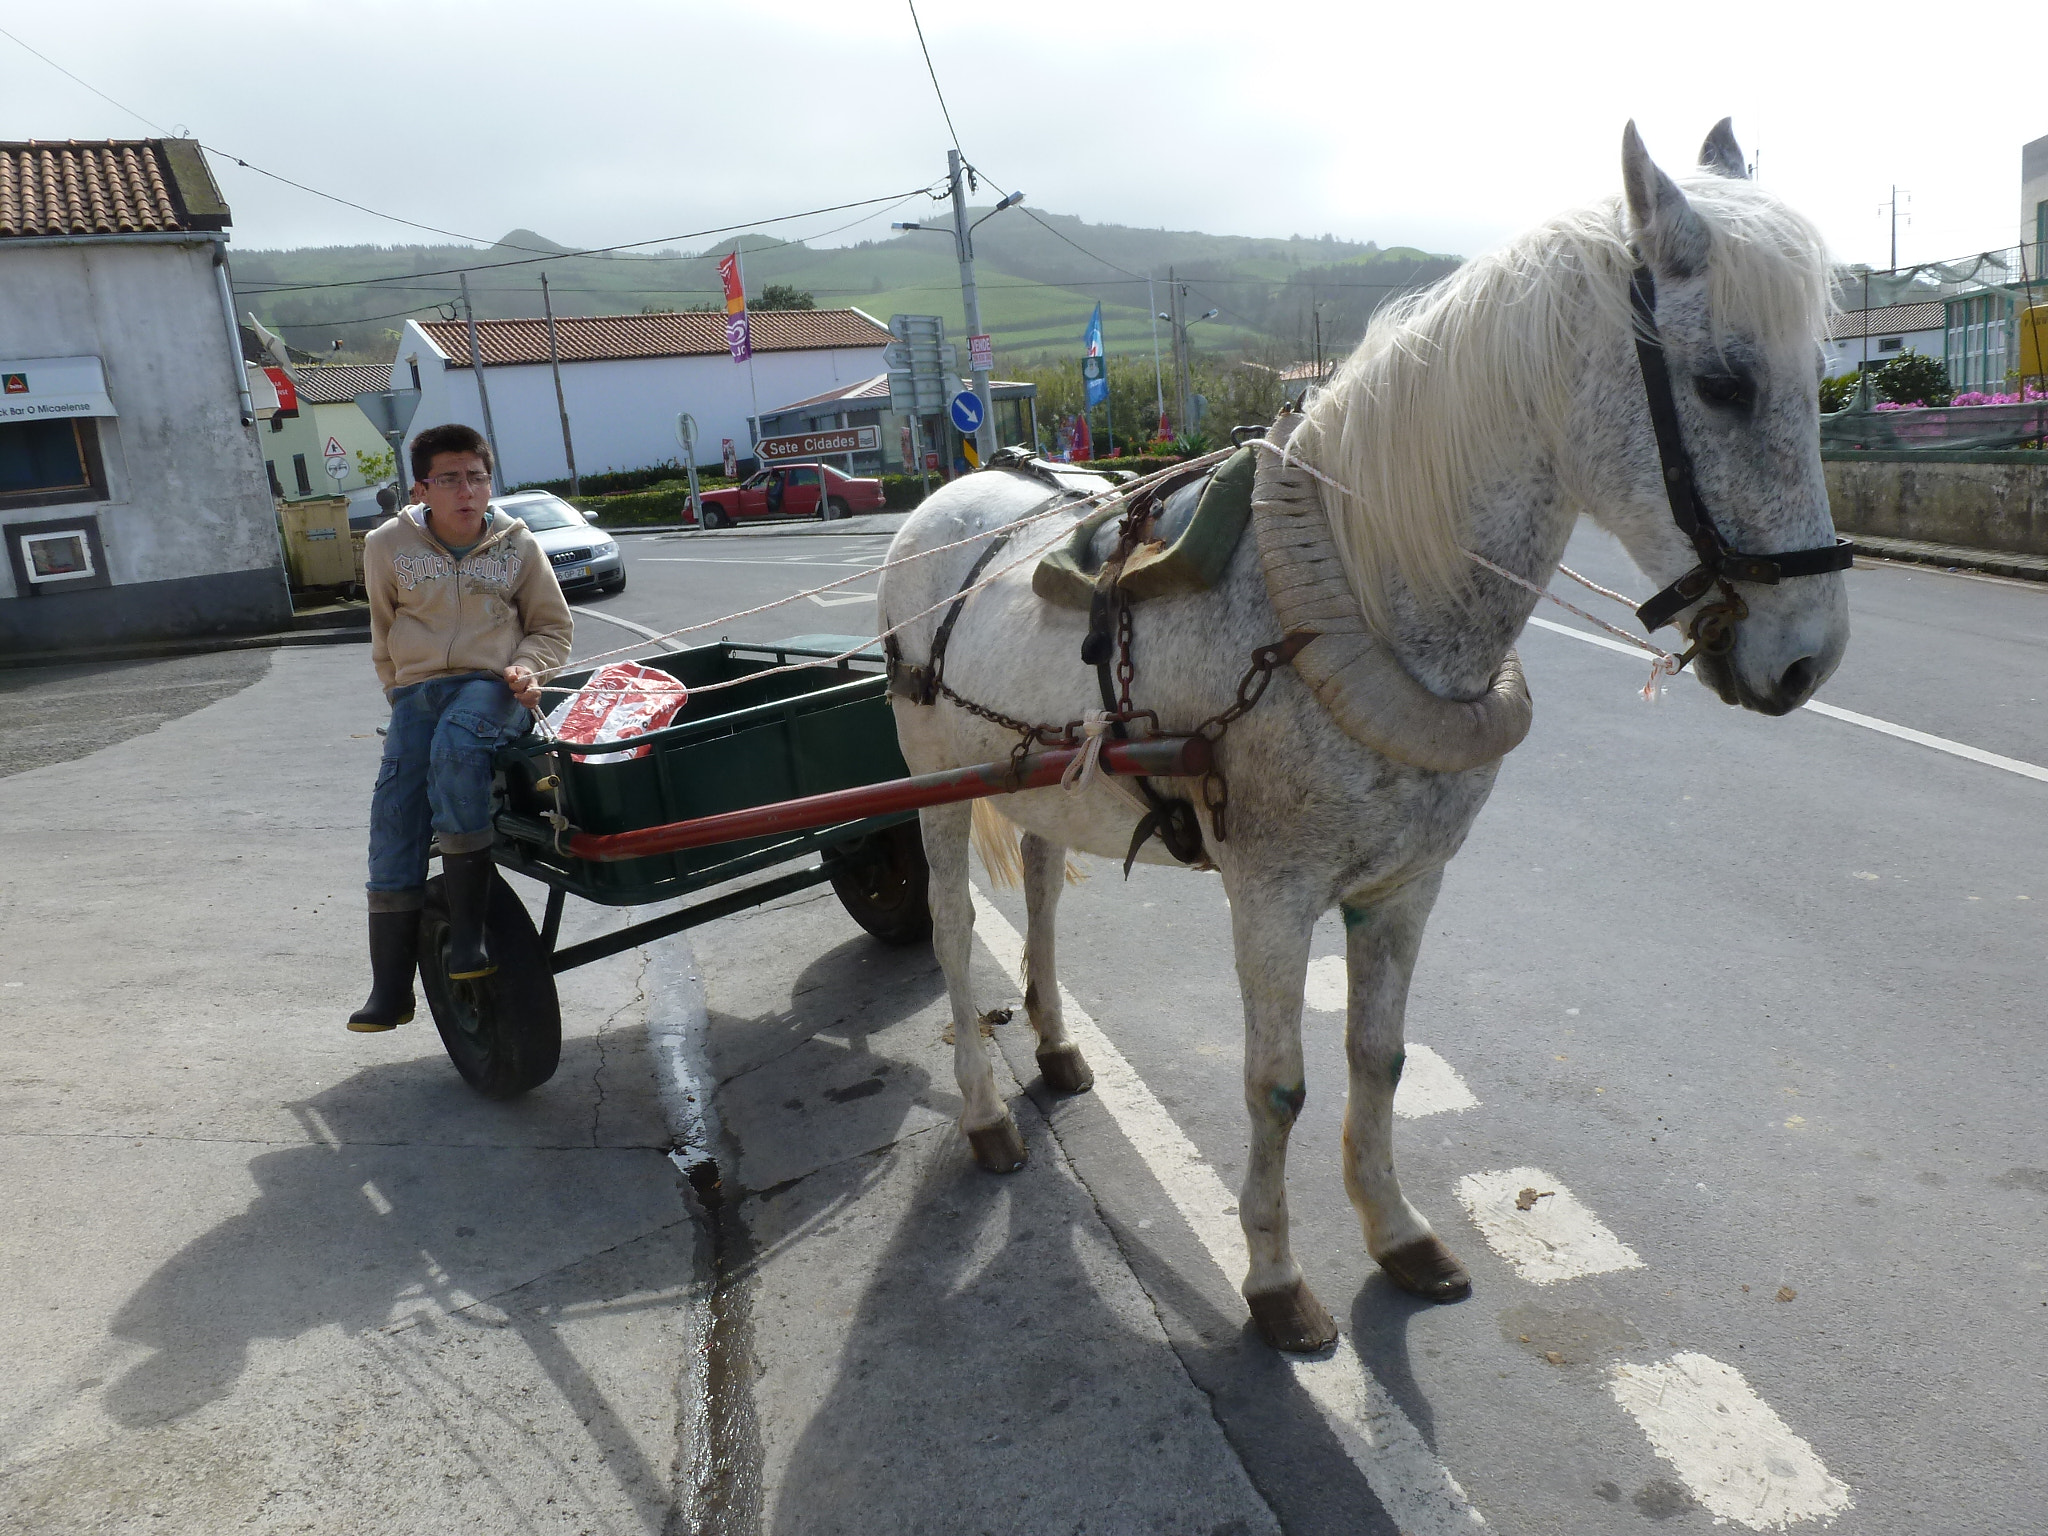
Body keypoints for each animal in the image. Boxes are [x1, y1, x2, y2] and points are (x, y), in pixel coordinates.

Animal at [872, 126, 1851, 1351]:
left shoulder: (1405, 884)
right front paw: (1274, 1278)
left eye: (1821, 382)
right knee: (956, 931)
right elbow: (1276, 1084)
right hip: (936, 783)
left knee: (1044, 895)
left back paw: (1052, 1045)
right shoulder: (1272, 893)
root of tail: (941, 501)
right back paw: (983, 1113)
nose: (1810, 658)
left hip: (1042, 781)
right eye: (1722, 384)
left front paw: (1395, 1232)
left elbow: (1377, 1059)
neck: (1350, 589)